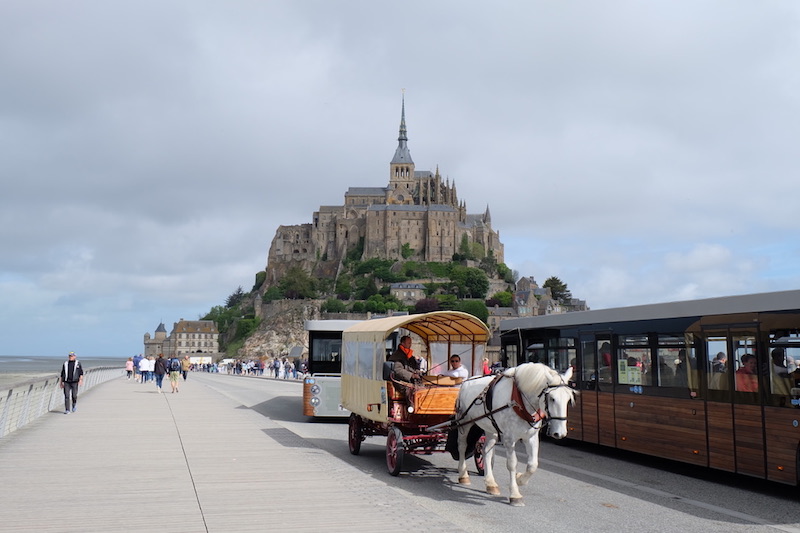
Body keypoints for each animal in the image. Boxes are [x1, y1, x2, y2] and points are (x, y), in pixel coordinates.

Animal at [456, 364, 576, 504]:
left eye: (568, 399)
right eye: (552, 398)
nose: (560, 433)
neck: (519, 401)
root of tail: (467, 381)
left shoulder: (531, 437)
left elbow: (533, 465)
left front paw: (520, 479)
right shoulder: (509, 438)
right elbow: (512, 464)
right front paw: (515, 493)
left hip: (490, 428)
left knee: (486, 451)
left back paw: (490, 483)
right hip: (464, 422)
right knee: (462, 446)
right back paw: (463, 475)